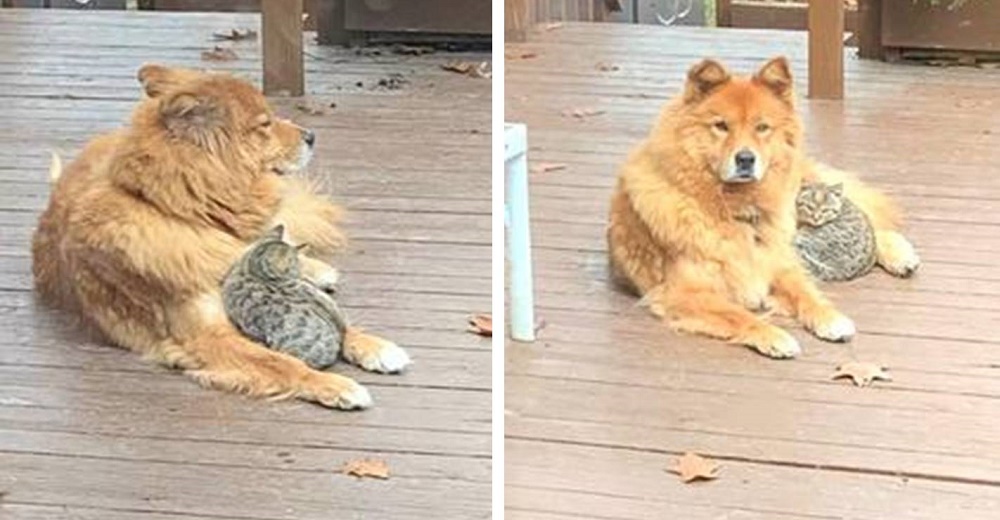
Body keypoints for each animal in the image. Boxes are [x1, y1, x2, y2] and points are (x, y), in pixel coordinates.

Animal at [604, 57, 916, 358]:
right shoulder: (686, 292)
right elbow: (739, 315)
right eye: (721, 126)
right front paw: (775, 337)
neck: (737, 210)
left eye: (762, 128)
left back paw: (901, 256)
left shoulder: (779, 262)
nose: (745, 159)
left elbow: (805, 292)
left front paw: (830, 318)